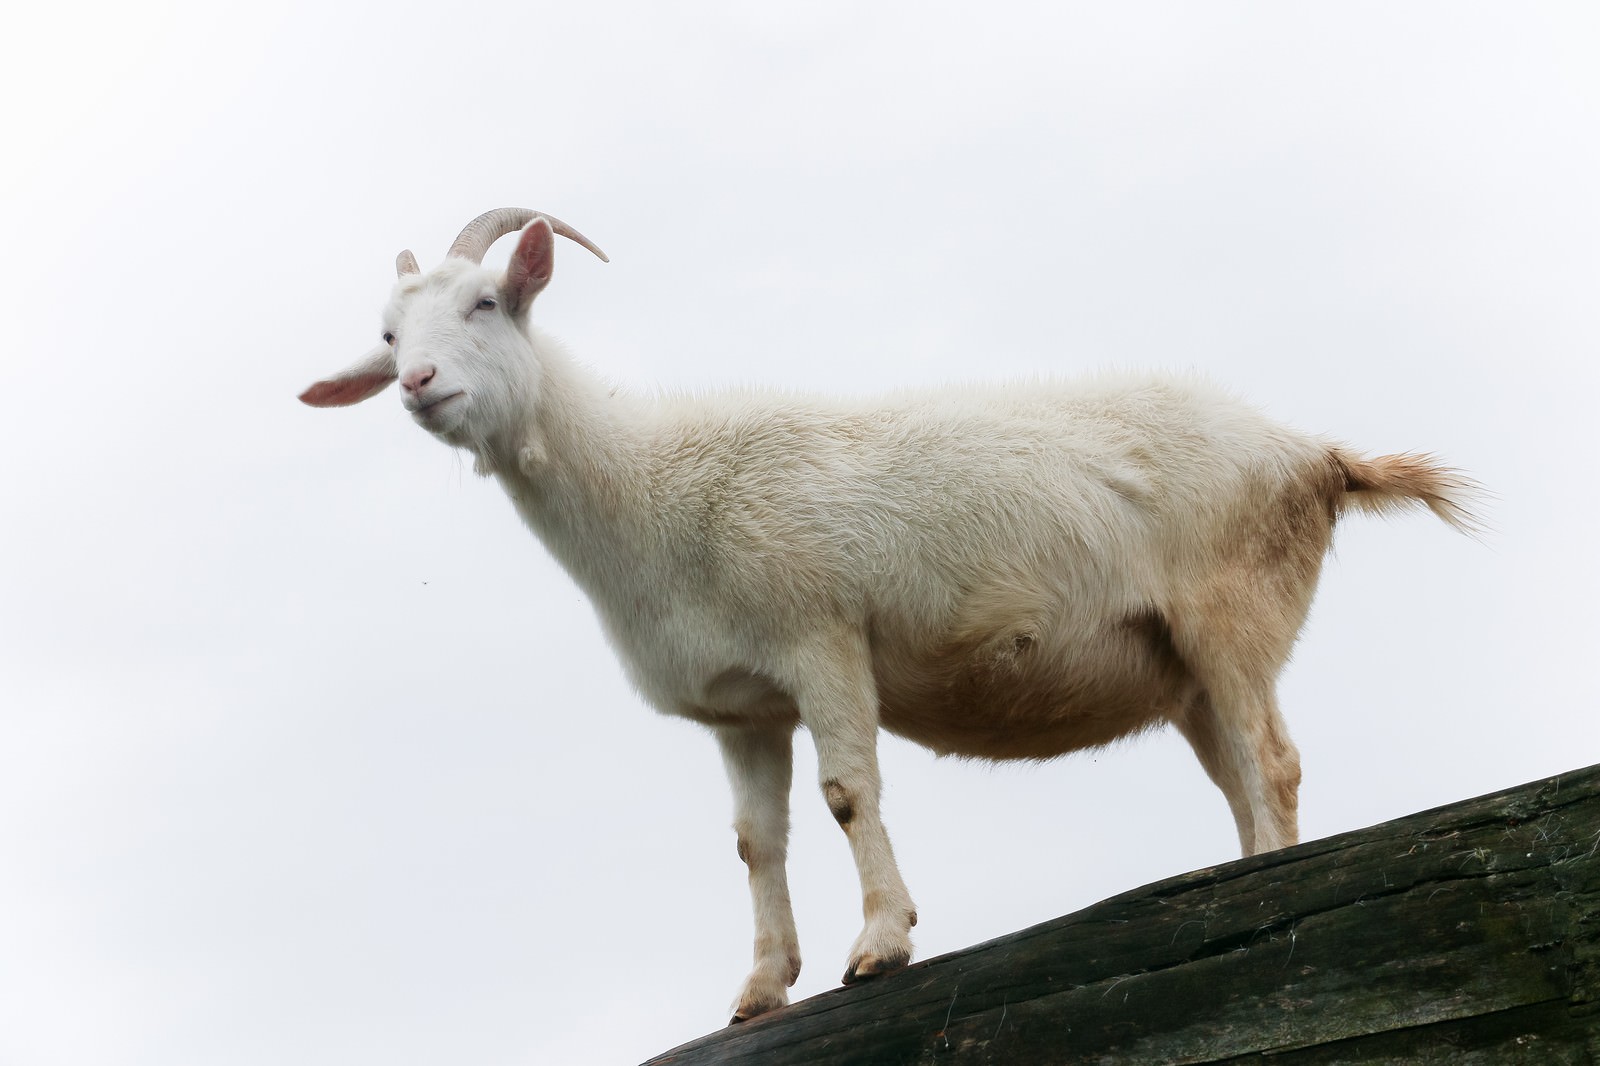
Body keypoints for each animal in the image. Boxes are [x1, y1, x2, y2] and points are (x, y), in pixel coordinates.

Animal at [297, 204, 1472, 1011]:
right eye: (388, 338)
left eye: (487, 302)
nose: (421, 384)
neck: (648, 483)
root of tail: (1312, 454)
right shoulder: (741, 706)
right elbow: (754, 842)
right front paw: (760, 988)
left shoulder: (820, 635)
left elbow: (847, 793)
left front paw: (880, 945)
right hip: (1183, 663)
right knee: (1238, 768)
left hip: (1231, 604)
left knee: (1273, 761)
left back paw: (1273, 883)